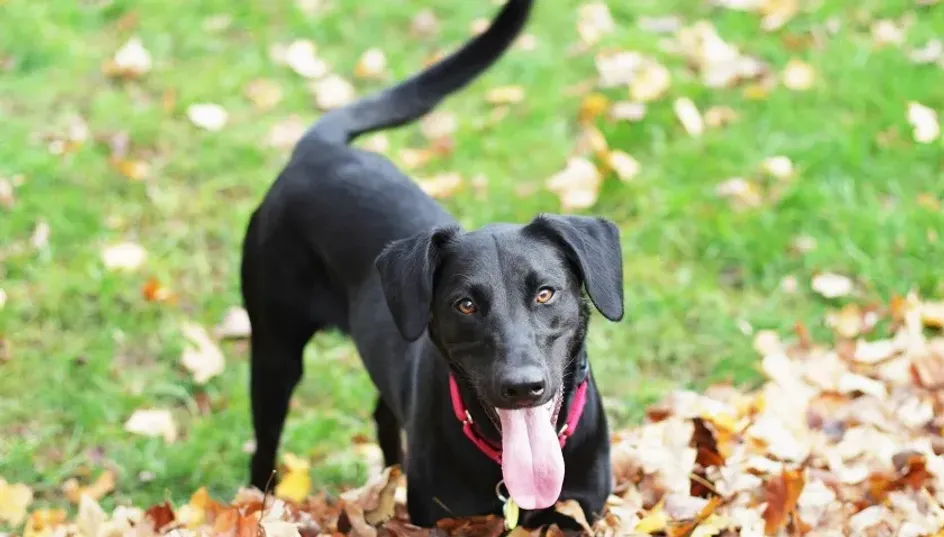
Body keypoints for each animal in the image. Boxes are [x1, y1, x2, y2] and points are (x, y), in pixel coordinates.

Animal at [243, 0, 628, 528]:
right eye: (465, 304)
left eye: (546, 293)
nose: (522, 387)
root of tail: (319, 149)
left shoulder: (583, 513)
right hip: (274, 349)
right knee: (264, 444)